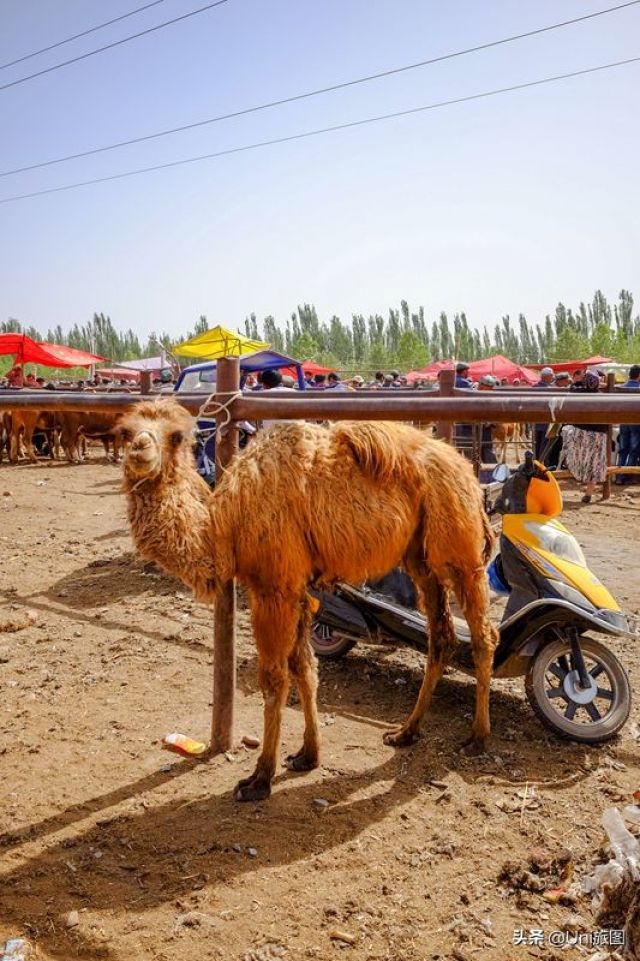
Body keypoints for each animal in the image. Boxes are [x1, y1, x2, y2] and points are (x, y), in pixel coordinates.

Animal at [120, 400, 500, 804]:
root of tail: (467, 472)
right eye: (124, 432)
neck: (225, 526)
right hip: (419, 555)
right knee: (441, 635)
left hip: (458, 547)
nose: (140, 451)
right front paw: (307, 754)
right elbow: (304, 667)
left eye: (177, 436)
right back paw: (405, 732)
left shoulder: (274, 586)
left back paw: (477, 736)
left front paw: (259, 778)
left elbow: (274, 676)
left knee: (483, 634)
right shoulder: (298, 589)